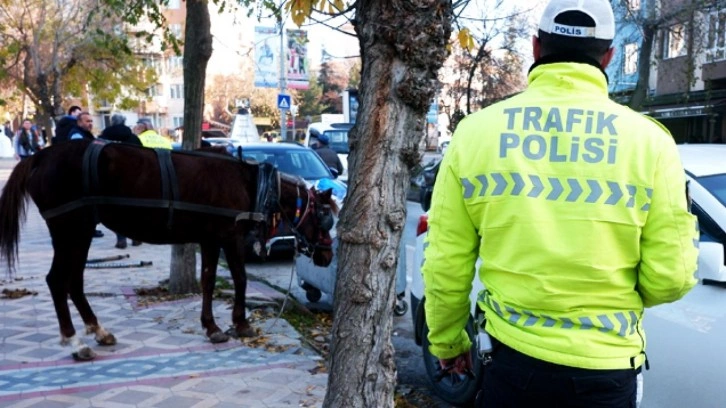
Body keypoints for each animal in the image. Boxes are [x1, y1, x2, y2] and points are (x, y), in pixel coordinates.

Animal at [0, 139, 336, 360]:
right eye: (324, 217)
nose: (327, 255)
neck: (249, 183)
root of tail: (41, 156)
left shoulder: (209, 239)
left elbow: (208, 280)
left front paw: (211, 326)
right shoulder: (229, 237)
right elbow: (239, 278)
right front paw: (240, 323)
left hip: (79, 234)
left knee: (74, 282)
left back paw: (98, 331)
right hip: (70, 230)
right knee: (57, 281)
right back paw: (75, 342)